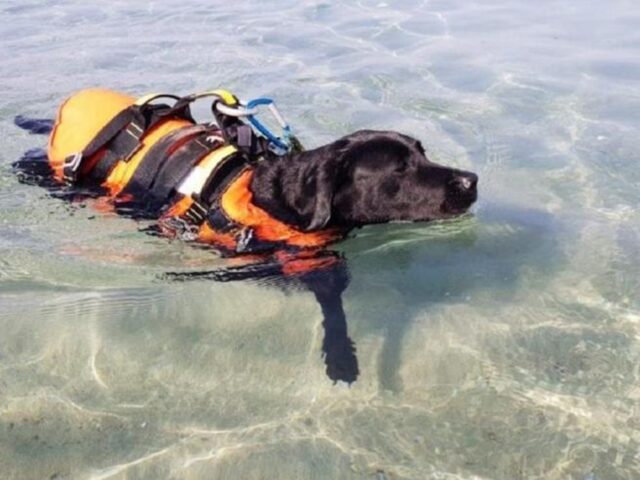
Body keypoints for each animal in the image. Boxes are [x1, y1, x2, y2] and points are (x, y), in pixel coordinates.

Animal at [15, 115, 478, 382]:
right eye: (399, 168)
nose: (471, 180)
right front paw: (341, 359)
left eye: (422, 153)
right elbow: (334, 311)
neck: (281, 200)